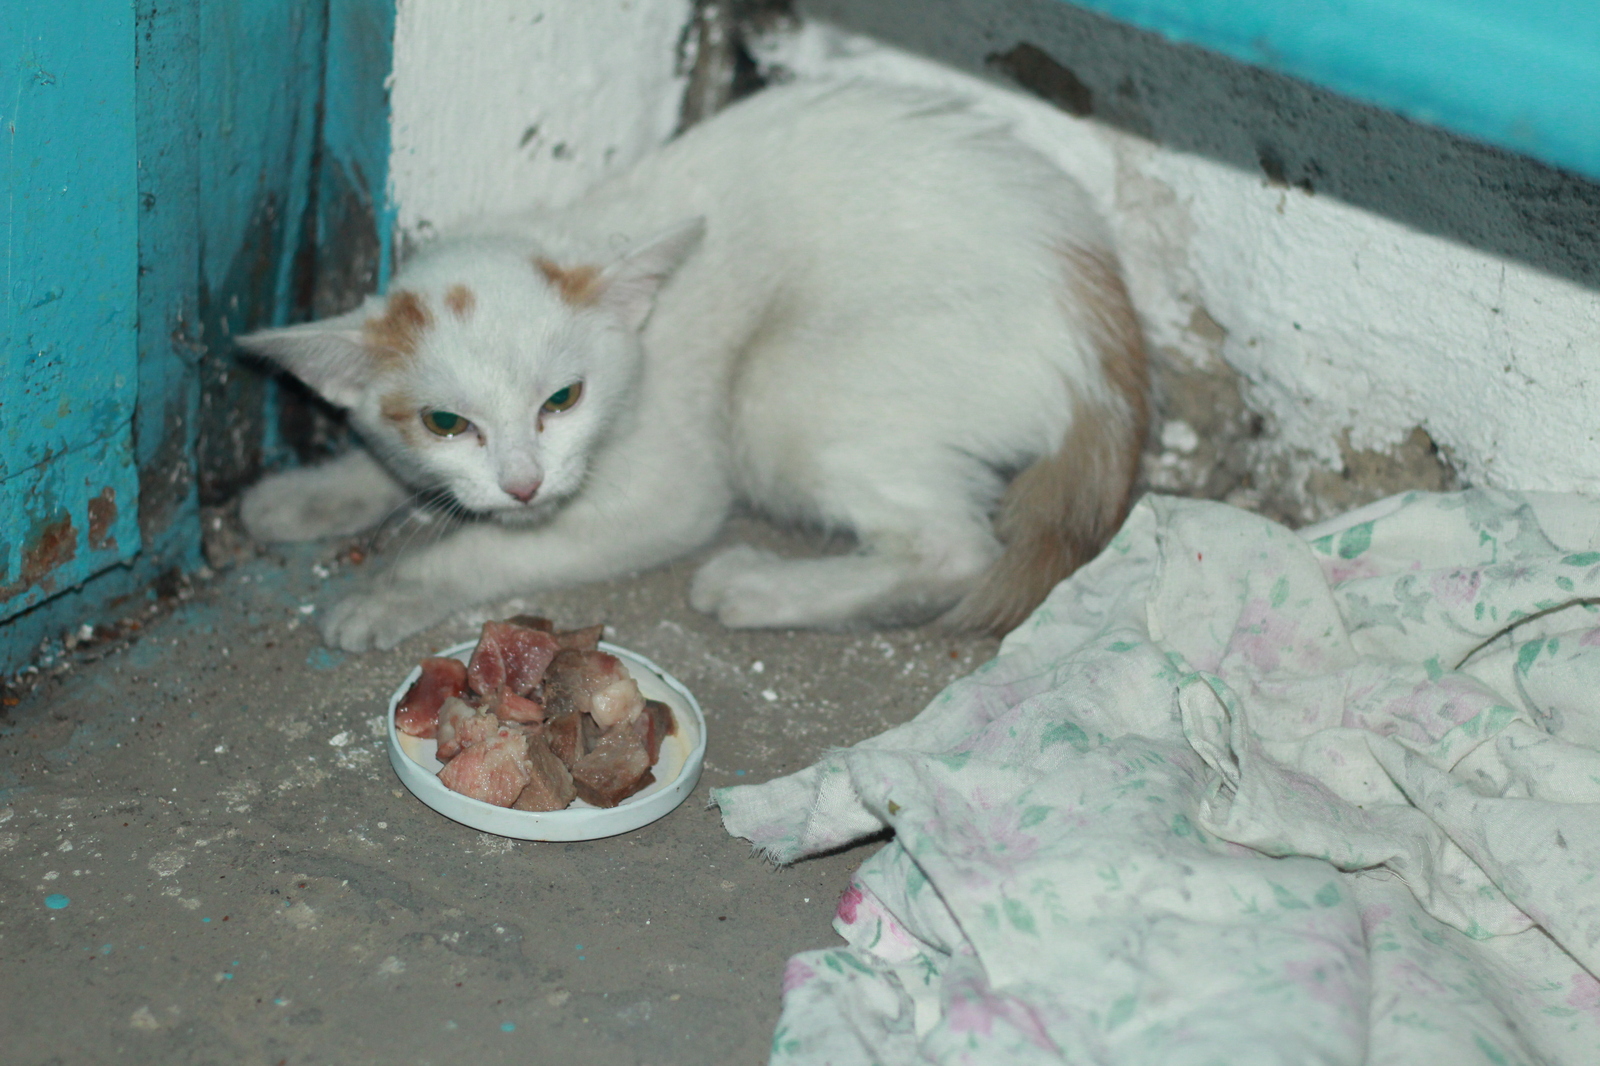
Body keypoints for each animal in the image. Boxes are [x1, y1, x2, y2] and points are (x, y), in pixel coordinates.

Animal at [236, 80, 1145, 646]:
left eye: (563, 399)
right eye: (445, 422)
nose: (524, 484)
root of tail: (1105, 328)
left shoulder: (670, 495)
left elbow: (494, 550)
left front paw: (390, 591)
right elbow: (396, 471)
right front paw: (312, 494)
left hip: (780, 395)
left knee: (956, 552)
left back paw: (756, 588)